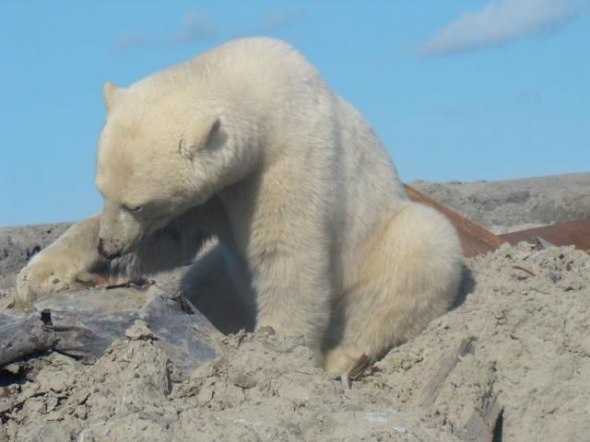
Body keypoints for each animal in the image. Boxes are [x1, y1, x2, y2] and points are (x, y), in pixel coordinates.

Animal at [16, 38, 464, 382]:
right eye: (101, 191)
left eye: (137, 204)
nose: (109, 247)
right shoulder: (216, 191)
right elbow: (174, 237)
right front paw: (39, 276)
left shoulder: (290, 160)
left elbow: (287, 254)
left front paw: (273, 351)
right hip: (229, 282)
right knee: (203, 281)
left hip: (384, 245)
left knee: (417, 255)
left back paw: (343, 358)